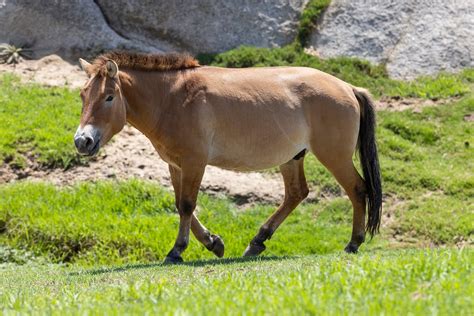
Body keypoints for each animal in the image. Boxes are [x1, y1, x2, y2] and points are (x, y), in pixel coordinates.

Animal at [76, 51, 384, 262]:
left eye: (109, 97)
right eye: (83, 95)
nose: (82, 141)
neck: (173, 98)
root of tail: (348, 87)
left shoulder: (194, 163)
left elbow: (187, 205)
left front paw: (177, 251)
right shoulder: (176, 165)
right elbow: (181, 205)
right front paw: (213, 242)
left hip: (334, 157)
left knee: (358, 189)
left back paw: (353, 243)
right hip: (293, 158)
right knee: (296, 193)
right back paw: (257, 242)